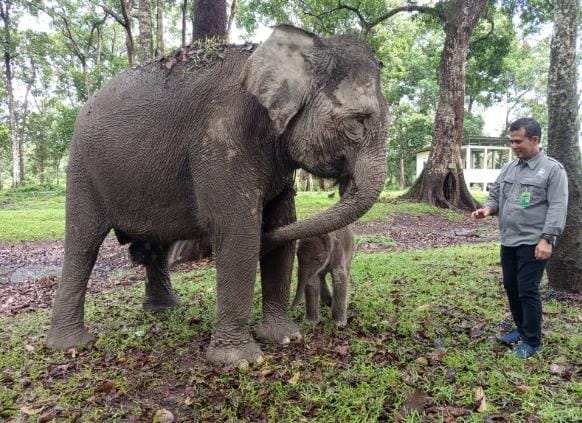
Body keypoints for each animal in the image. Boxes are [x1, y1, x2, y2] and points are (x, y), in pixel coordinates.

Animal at [46, 24, 388, 366]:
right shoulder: (222, 139)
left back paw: (165, 310)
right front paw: (241, 361)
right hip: (82, 169)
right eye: (357, 122)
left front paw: (285, 337)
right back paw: (70, 344)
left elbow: (283, 222)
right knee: (83, 244)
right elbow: (238, 231)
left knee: (155, 246)